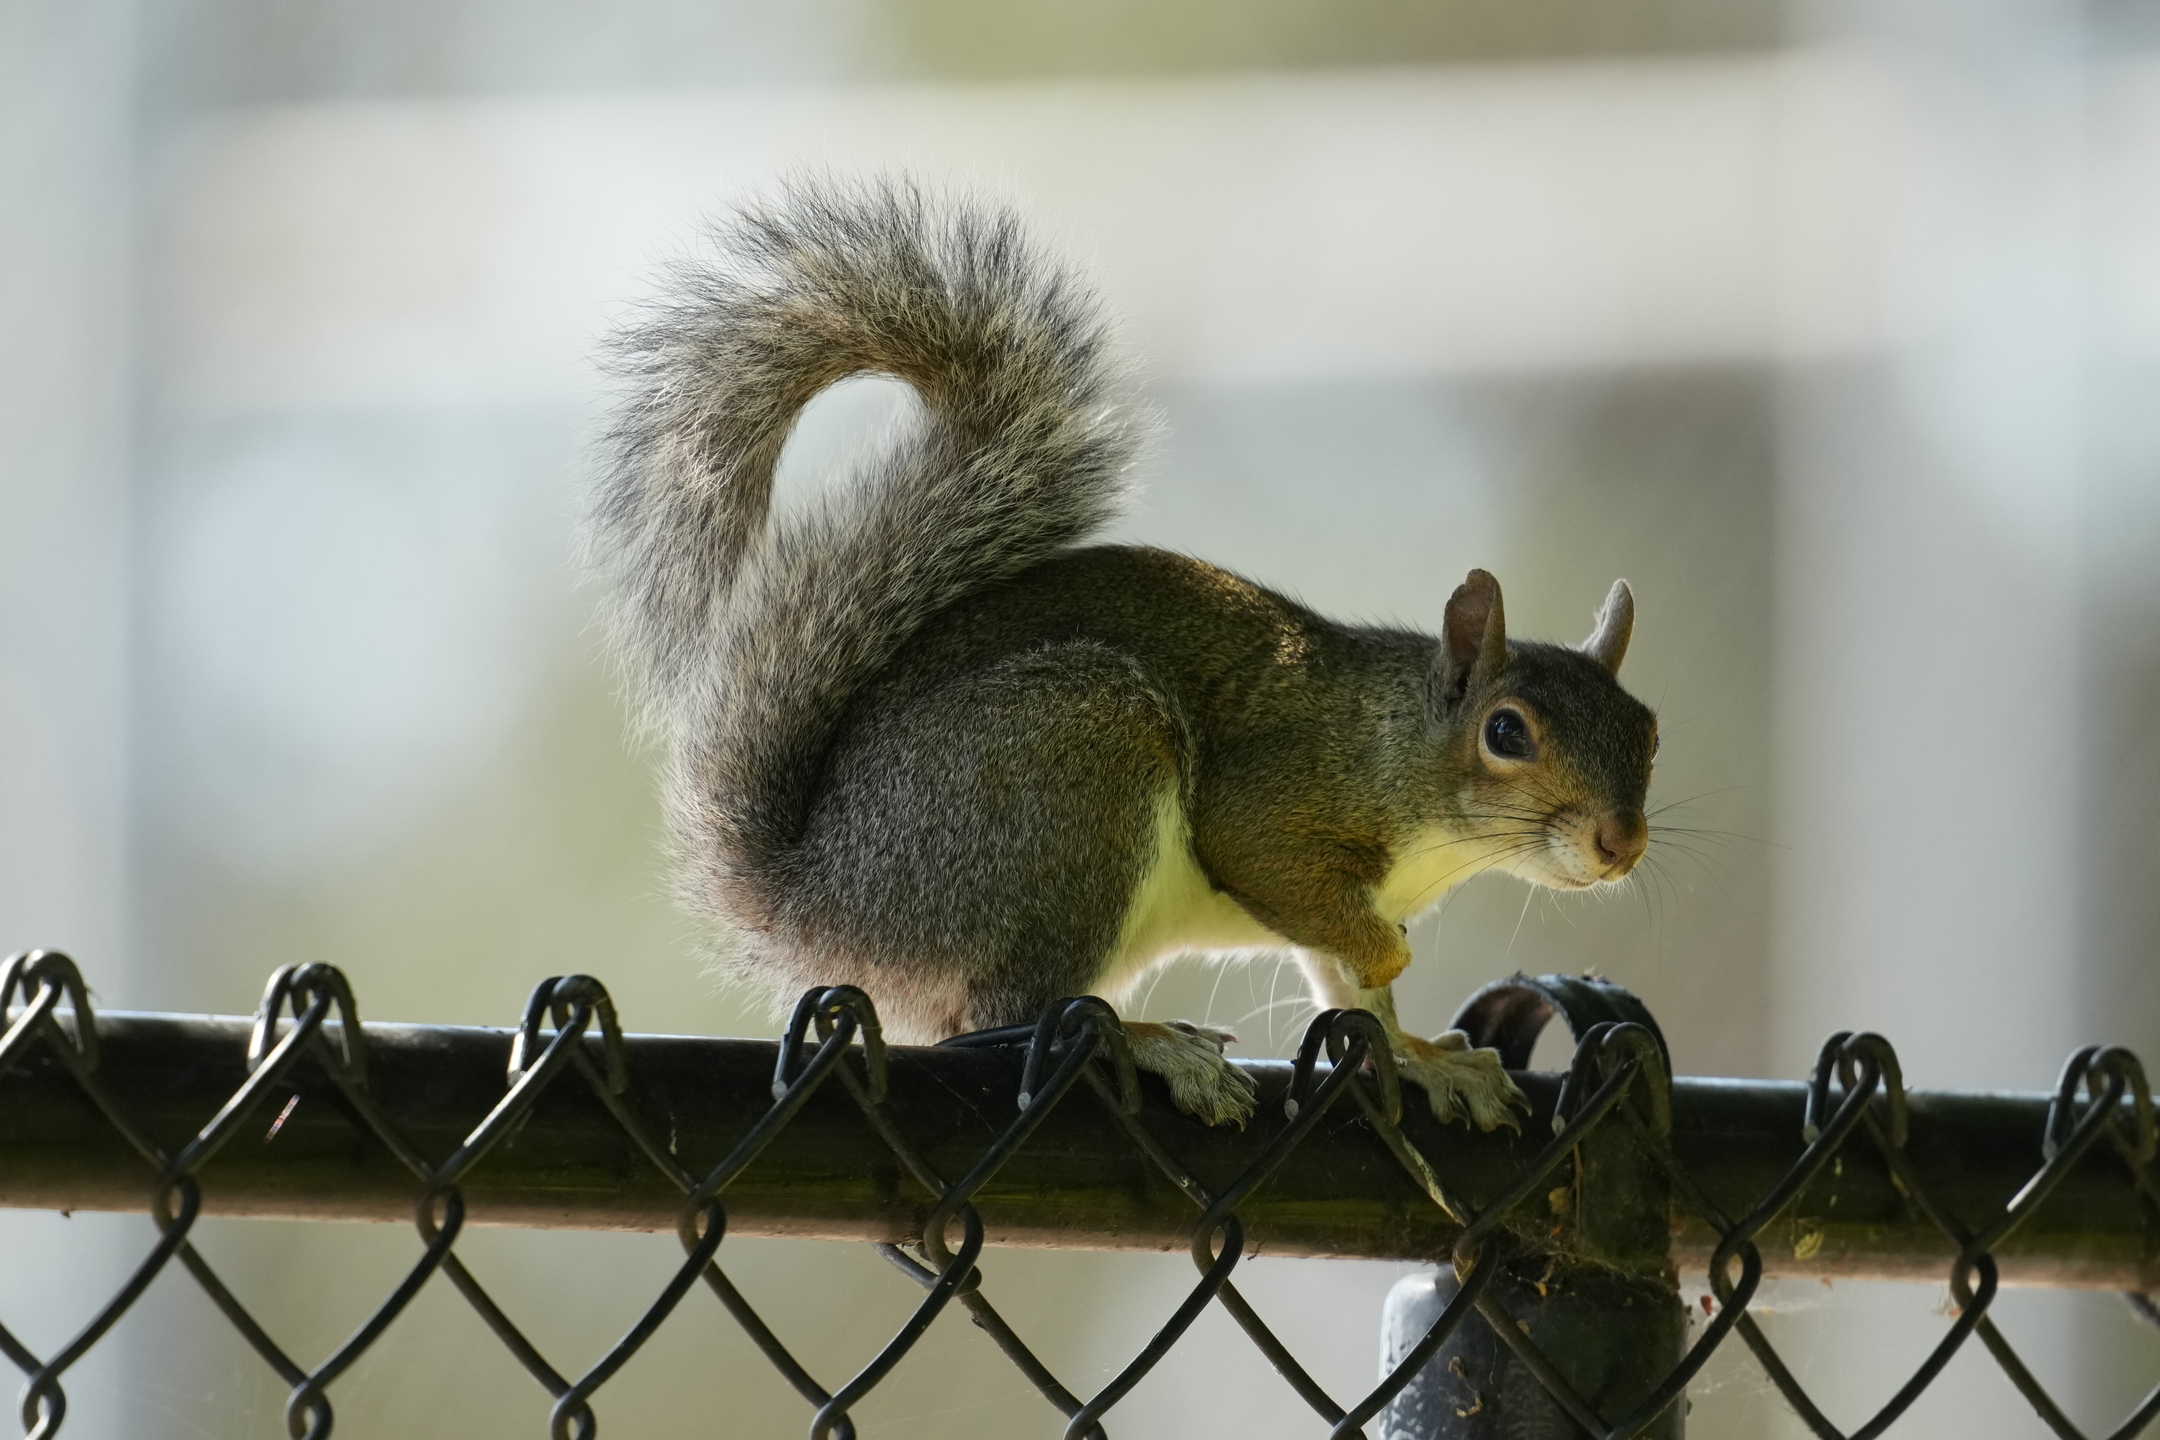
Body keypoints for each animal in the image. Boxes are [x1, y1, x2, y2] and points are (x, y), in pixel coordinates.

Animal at [589, 177, 1658, 1131]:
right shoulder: (1288, 799)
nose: (1621, 844)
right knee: (1007, 1015)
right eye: (1507, 733)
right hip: (1071, 772)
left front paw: (1418, 1054)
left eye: (1649, 733)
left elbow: (1350, 993)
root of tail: (820, 901)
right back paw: (1145, 1045)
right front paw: (1394, 971)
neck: (1411, 761)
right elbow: (1275, 870)